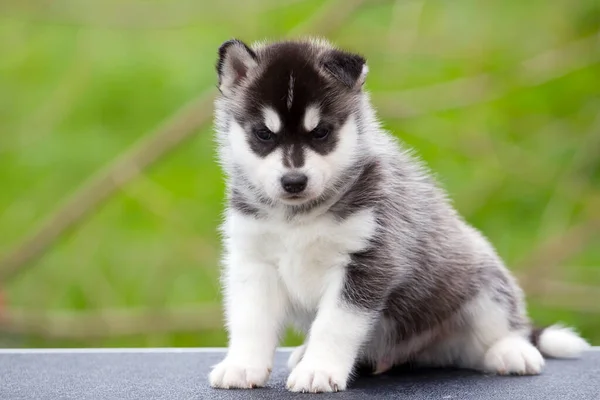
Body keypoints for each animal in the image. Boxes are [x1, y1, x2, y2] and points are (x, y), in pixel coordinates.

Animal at [209, 38, 588, 394]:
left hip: (484, 289)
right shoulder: (252, 262)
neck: (298, 217)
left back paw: (512, 351)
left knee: (502, 327)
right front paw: (242, 366)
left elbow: (334, 325)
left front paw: (318, 370)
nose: (293, 181)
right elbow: (250, 321)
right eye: (263, 133)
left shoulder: (368, 262)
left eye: (321, 132)